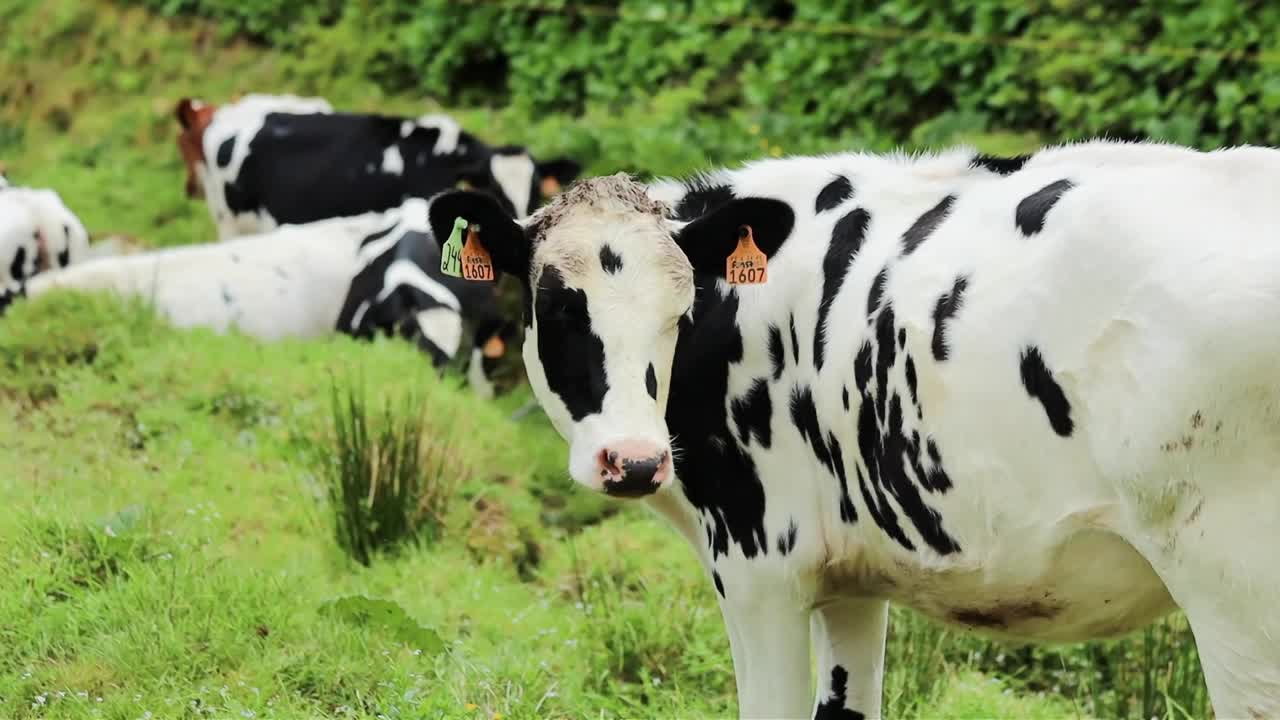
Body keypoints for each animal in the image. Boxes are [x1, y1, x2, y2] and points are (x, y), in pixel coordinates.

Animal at [424, 141, 1280, 717]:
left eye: (681, 308)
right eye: (558, 306)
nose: (631, 461)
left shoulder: (758, 564)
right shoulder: (853, 578)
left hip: (1236, 586)